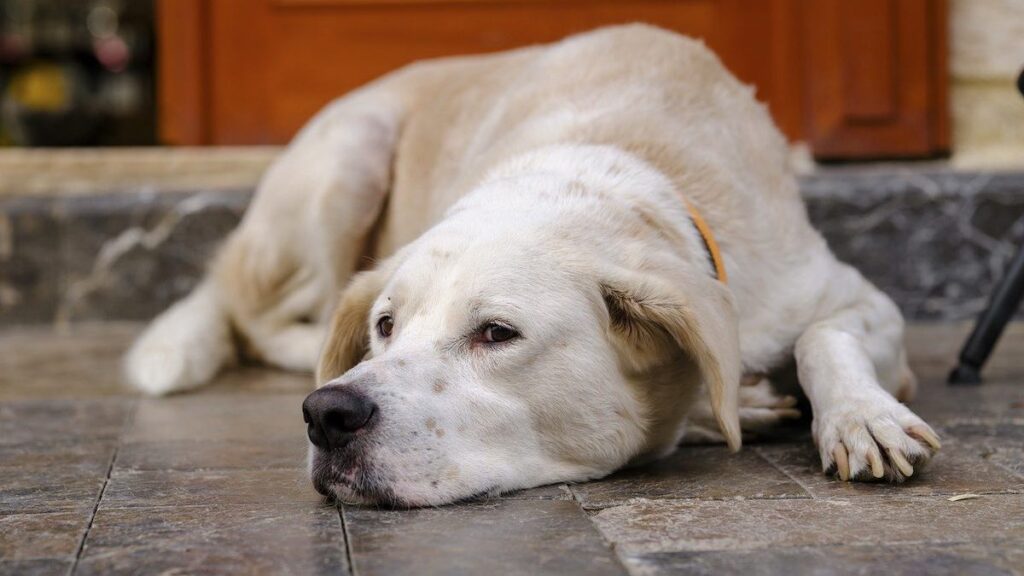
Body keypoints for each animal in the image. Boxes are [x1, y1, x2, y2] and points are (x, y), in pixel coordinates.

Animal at [123, 24, 937, 504]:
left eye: (497, 333)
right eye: (386, 327)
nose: (327, 415)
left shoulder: (843, 296)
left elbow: (823, 337)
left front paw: (862, 417)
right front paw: (738, 407)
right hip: (349, 152)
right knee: (264, 320)